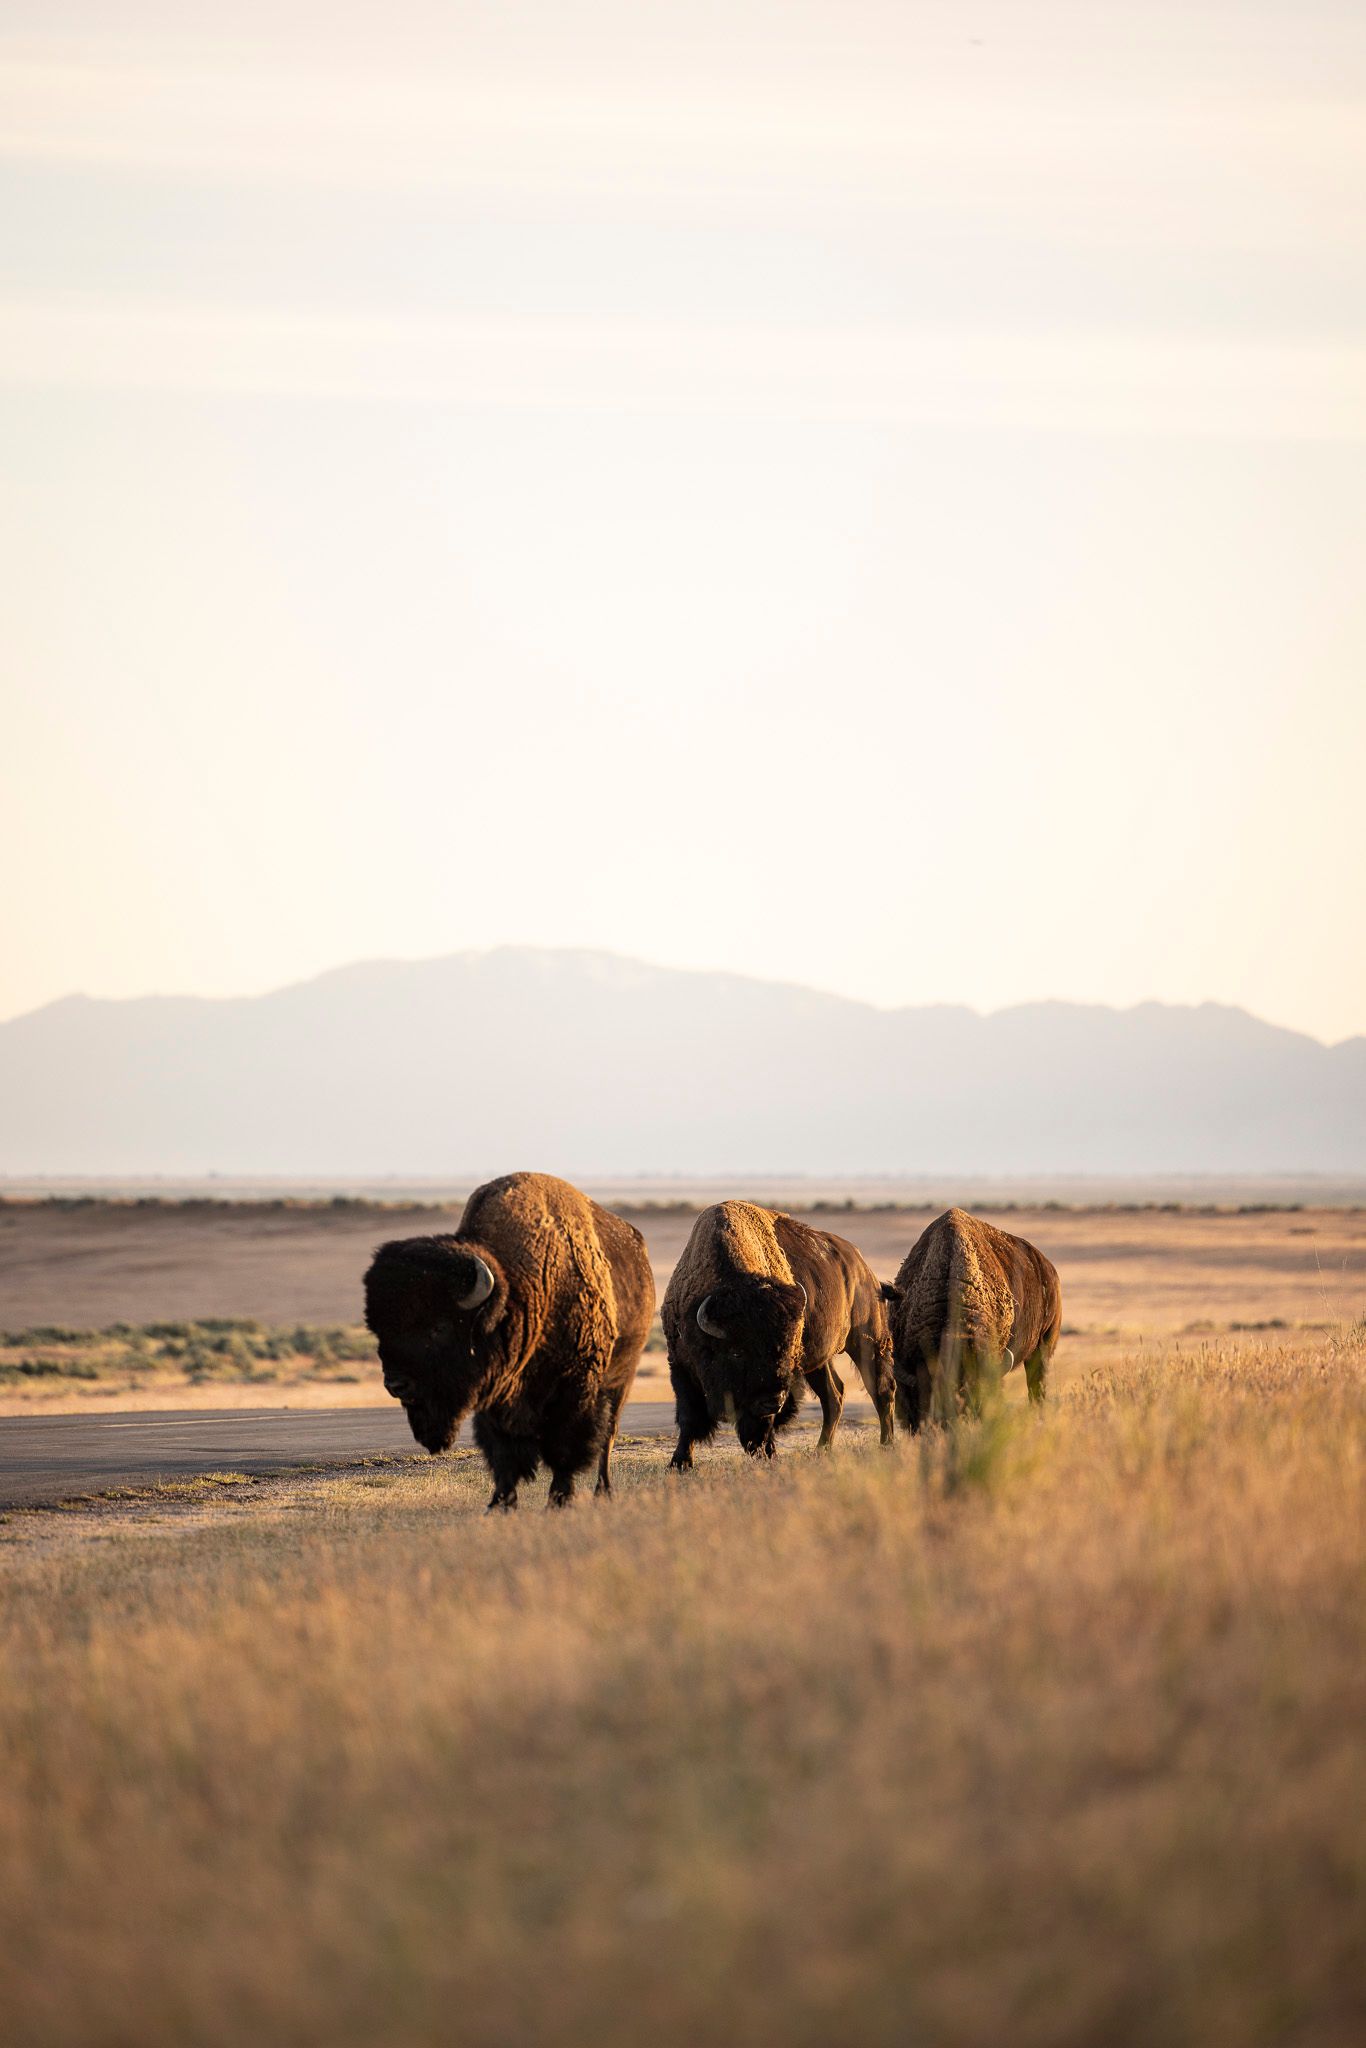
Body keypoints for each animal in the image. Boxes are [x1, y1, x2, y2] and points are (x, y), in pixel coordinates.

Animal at [363, 1170, 655, 1509]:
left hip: (621, 1378)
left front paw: (558, 1500)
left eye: (439, 1328)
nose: (396, 1384)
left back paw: (603, 1490)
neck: (522, 1289)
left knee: (608, 1434)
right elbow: (503, 1453)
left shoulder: (575, 1388)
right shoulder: (496, 1397)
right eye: (381, 1330)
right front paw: (500, 1503)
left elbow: (564, 1449)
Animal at [662, 1200, 895, 1464]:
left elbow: (761, 1425)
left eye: (785, 1350)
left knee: (882, 1390)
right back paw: (822, 1448)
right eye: (736, 1353)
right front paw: (680, 1462)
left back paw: (887, 1444)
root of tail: (863, 1268)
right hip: (819, 1362)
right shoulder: (681, 1365)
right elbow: (689, 1417)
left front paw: (766, 1453)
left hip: (868, 1343)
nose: (773, 1401)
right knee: (834, 1396)